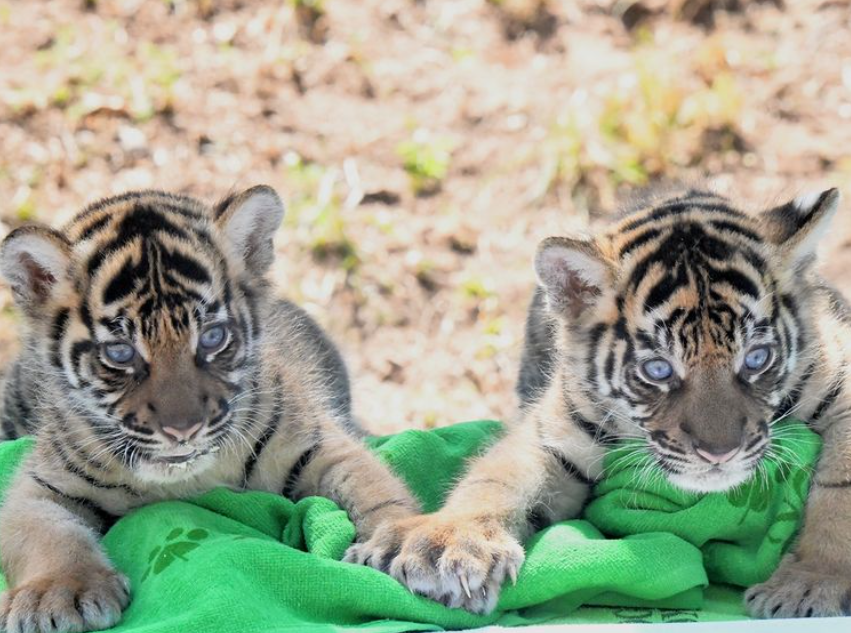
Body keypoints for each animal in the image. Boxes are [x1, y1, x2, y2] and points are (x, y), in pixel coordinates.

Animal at [0, 186, 420, 633]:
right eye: (120, 352)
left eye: (213, 337)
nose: (182, 430)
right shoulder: (41, 484)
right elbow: (44, 534)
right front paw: (56, 593)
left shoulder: (320, 445)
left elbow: (376, 492)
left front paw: (402, 540)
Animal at [347, 187, 851, 618]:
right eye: (658, 369)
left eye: (756, 358)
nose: (719, 453)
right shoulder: (555, 431)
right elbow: (498, 476)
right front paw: (446, 543)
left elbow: (840, 488)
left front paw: (811, 583)